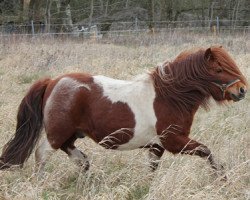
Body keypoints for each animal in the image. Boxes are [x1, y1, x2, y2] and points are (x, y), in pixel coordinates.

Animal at [0, 46, 247, 177]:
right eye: (218, 69)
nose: (242, 90)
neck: (169, 97)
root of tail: (53, 82)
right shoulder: (174, 141)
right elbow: (207, 151)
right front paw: (221, 177)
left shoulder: (156, 147)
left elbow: (151, 171)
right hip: (56, 134)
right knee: (42, 154)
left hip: (70, 135)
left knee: (78, 158)